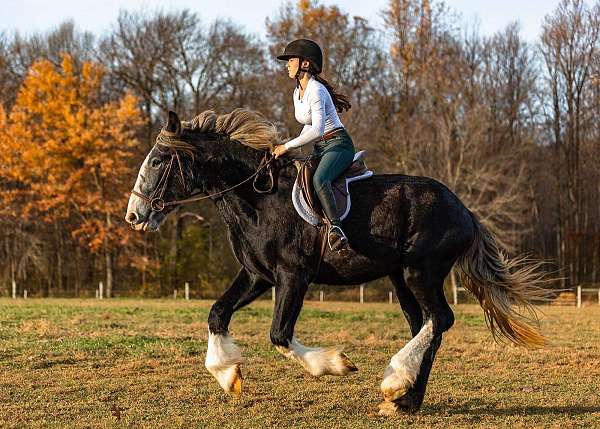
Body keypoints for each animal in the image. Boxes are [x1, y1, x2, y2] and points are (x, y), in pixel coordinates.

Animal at [125, 108, 548, 412]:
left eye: (159, 160)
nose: (134, 215)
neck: (259, 199)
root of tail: (464, 211)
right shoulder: (257, 275)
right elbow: (217, 314)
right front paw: (229, 375)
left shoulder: (292, 276)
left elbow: (279, 334)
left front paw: (336, 364)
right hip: (400, 277)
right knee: (426, 325)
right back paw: (406, 400)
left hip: (421, 271)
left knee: (439, 320)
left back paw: (396, 383)